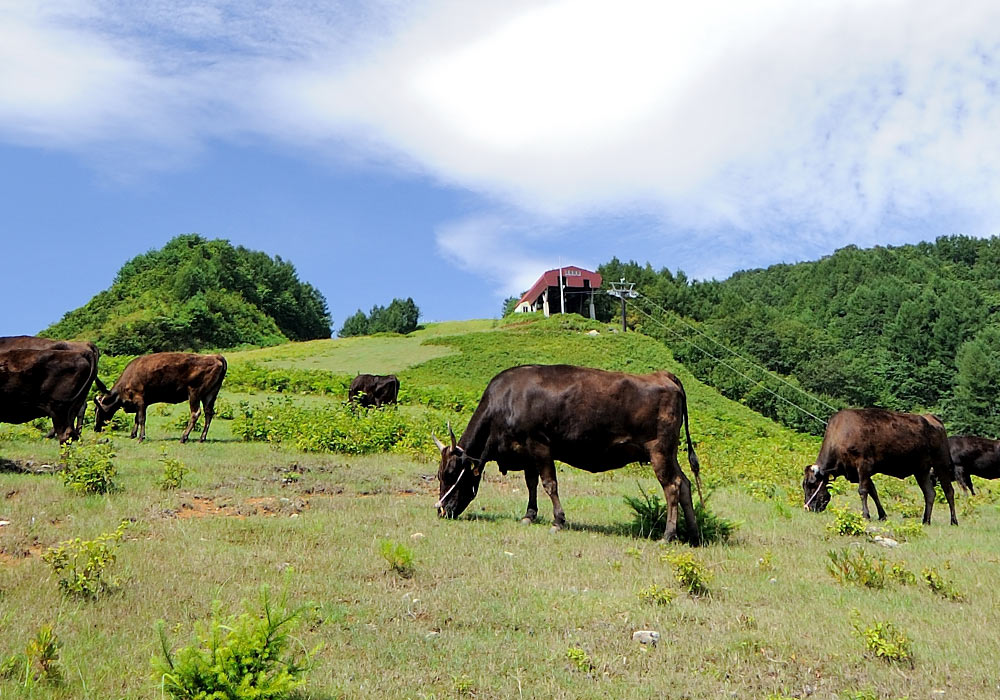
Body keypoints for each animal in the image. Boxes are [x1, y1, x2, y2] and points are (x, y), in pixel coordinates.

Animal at [93, 350, 226, 442]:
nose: (96, 428)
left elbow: (141, 418)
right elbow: (137, 418)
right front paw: (133, 434)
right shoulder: (143, 402)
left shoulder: (140, 399)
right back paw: (202, 438)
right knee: (209, 413)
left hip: (194, 393)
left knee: (196, 413)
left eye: (98, 410)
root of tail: (215, 356)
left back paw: (183, 437)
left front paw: (141, 437)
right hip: (210, 394)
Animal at [432, 364, 704, 544]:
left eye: (451, 473)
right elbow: (531, 483)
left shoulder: (540, 445)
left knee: (672, 487)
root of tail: (663, 375)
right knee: (685, 484)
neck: (506, 401)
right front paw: (529, 515)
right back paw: (693, 534)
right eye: (438, 474)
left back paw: (668, 535)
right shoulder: (526, 452)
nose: (441, 510)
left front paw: (558, 521)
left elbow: (549, 484)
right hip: (670, 453)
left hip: (659, 450)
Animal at [800, 410, 956, 524]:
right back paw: (926, 520)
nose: (808, 508)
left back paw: (953, 521)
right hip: (921, 470)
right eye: (804, 485)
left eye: (812, 484)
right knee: (930, 493)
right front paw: (882, 515)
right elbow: (872, 491)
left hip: (941, 464)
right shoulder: (859, 472)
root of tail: (931, 418)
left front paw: (865, 515)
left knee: (949, 491)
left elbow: (863, 491)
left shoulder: (864, 465)